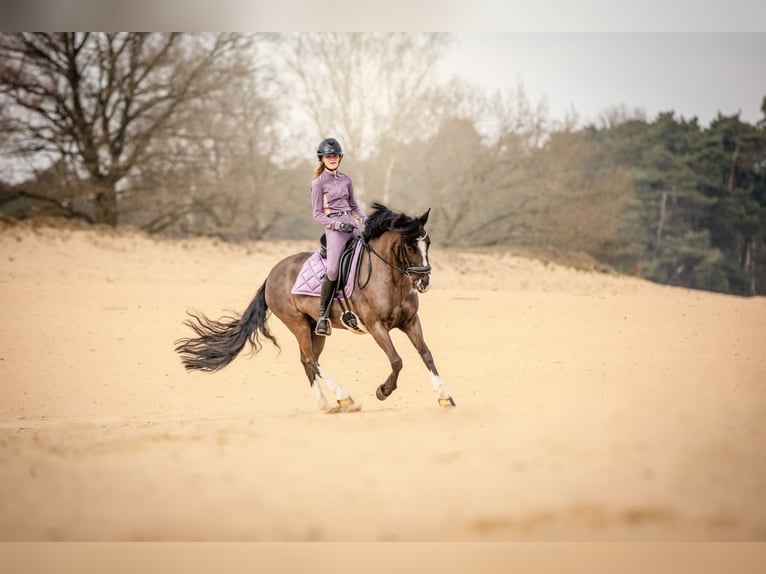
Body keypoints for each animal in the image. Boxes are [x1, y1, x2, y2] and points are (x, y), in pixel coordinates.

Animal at [176, 205, 456, 412]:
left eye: (428, 243)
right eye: (409, 246)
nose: (424, 282)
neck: (390, 279)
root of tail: (272, 274)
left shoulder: (410, 322)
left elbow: (426, 354)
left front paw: (444, 396)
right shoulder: (377, 326)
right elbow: (397, 360)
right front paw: (383, 391)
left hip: (316, 328)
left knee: (309, 361)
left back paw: (327, 403)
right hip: (298, 323)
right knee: (310, 359)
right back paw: (343, 397)